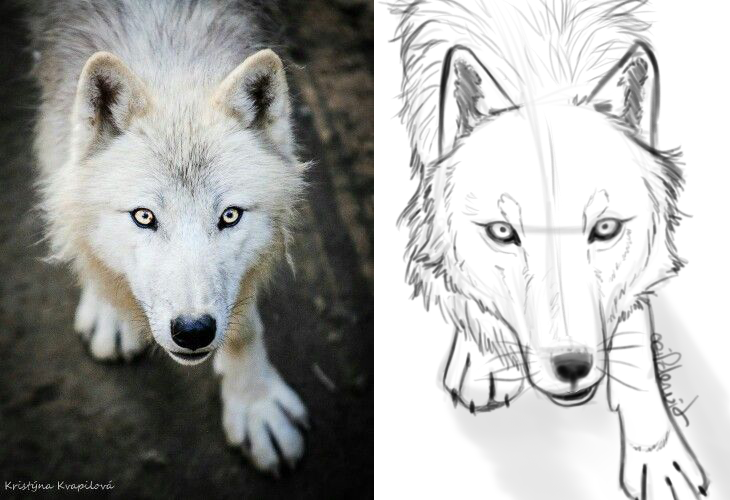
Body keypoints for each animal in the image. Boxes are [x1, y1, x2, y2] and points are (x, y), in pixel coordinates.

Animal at [29, 0, 309, 474]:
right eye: (144, 217)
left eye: (229, 216)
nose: (193, 332)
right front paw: (110, 310)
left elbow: (244, 325)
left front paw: (255, 404)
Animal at [393, 0, 708, 497]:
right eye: (502, 232)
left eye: (605, 227)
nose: (572, 367)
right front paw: (485, 359)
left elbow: (636, 346)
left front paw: (657, 459)